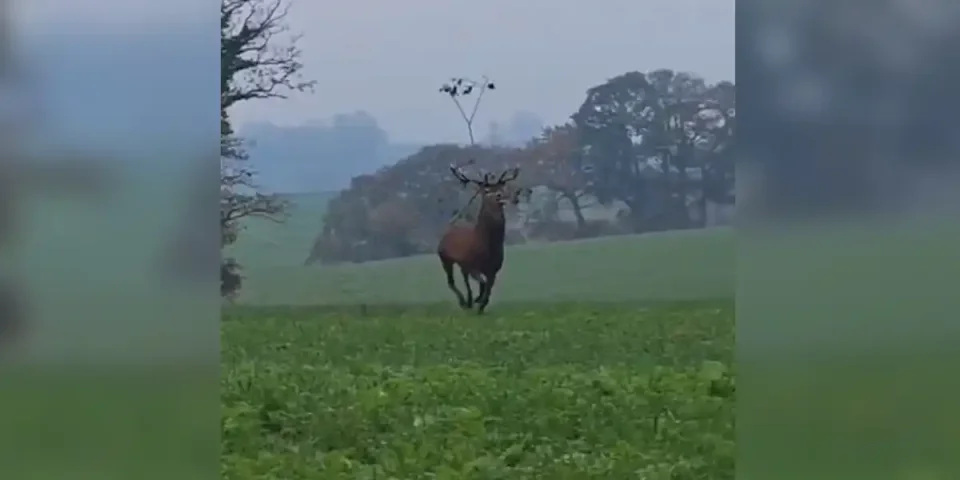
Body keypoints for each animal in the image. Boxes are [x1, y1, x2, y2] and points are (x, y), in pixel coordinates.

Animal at [437, 162, 525, 314]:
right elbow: (483, 283)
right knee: (451, 282)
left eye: (503, 188)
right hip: (445, 258)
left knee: (464, 279)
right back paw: (464, 302)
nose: (514, 197)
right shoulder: (472, 264)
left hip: (462, 265)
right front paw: (478, 301)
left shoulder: (494, 269)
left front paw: (481, 305)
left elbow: (489, 289)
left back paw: (469, 301)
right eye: (490, 191)